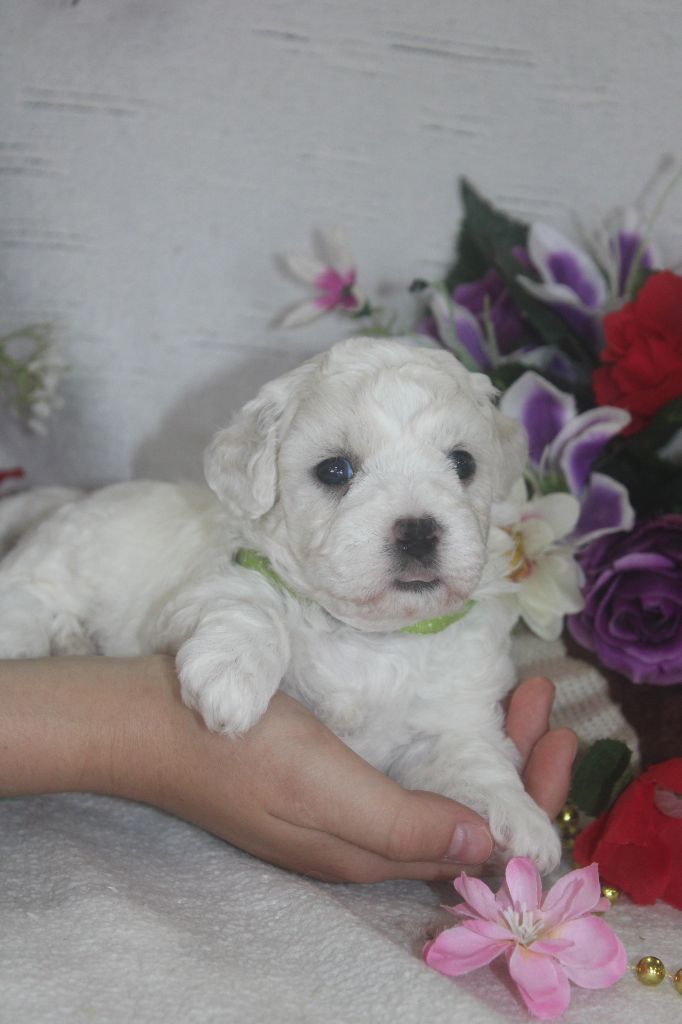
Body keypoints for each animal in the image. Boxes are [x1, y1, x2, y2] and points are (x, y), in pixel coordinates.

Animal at [0, 337, 561, 872]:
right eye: (335, 470)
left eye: (463, 463)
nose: (419, 531)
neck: (372, 637)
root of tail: (68, 501)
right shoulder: (204, 588)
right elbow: (250, 606)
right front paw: (232, 679)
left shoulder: (451, 712)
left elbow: (472, 754)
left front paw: (520, 818)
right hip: (58, 563)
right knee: (29, 595)